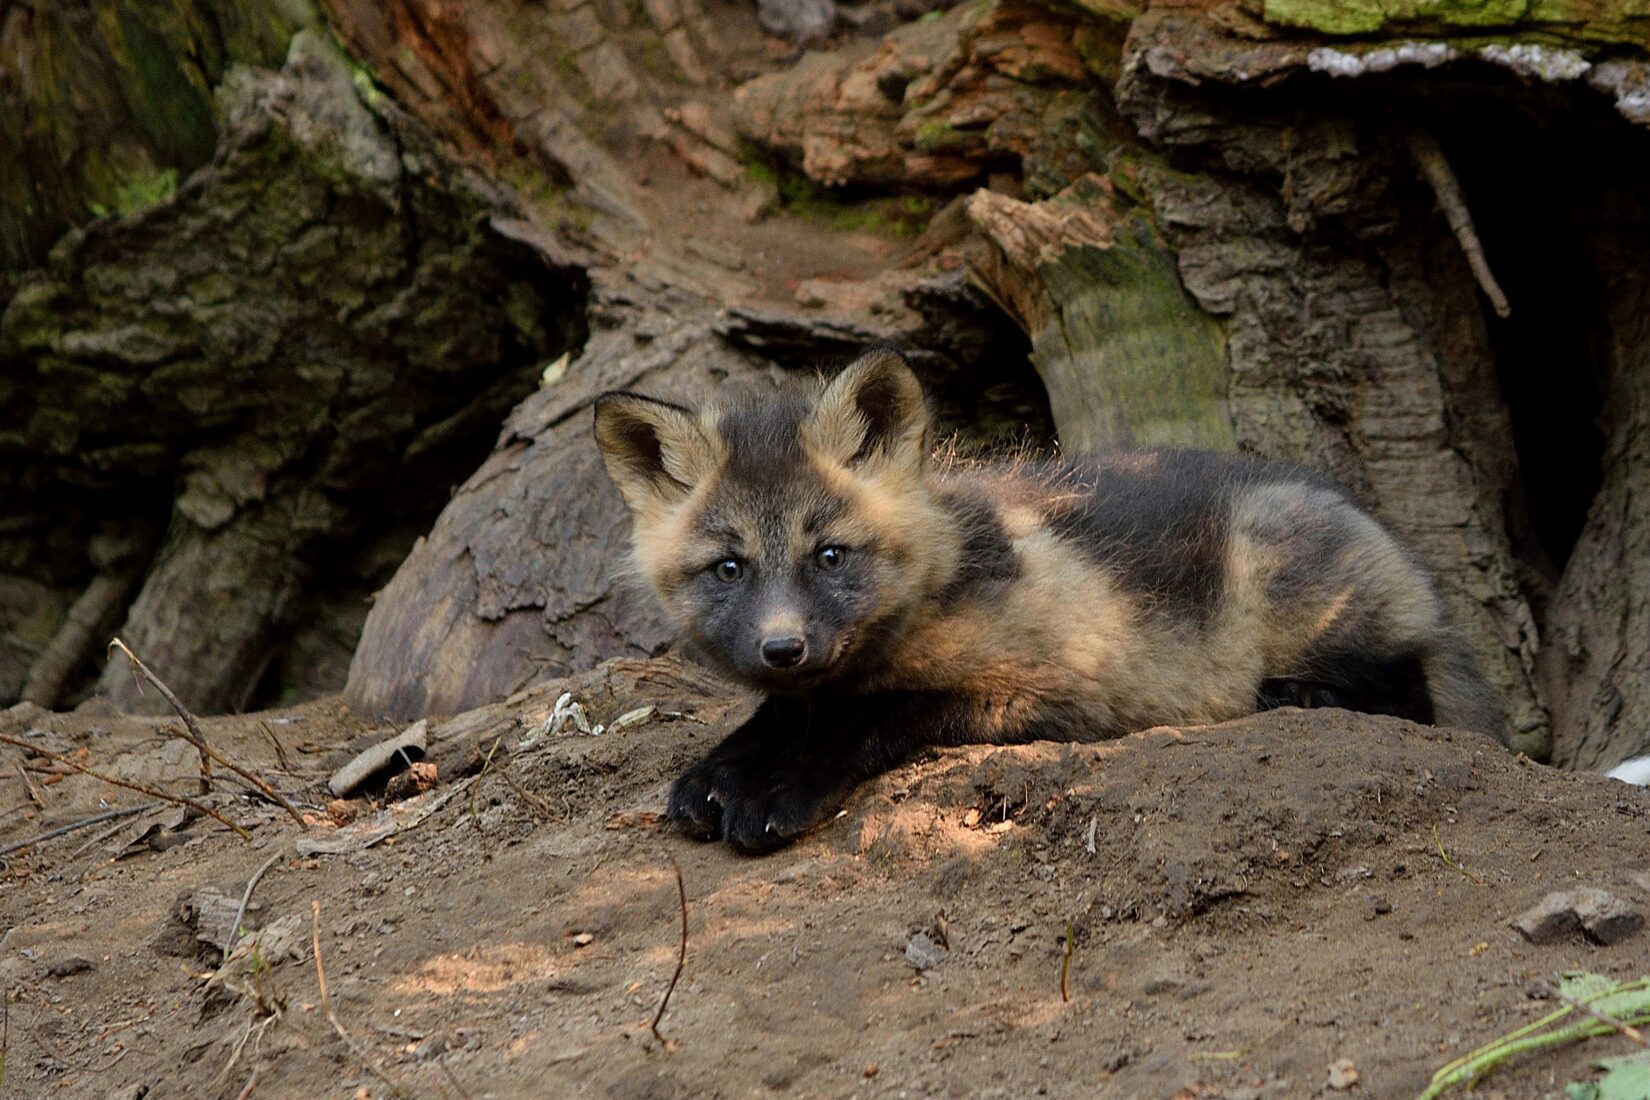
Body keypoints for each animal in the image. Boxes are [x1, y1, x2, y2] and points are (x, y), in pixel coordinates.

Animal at [594, 347, 1511, 857]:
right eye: (728, 569)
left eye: (829, 556)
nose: (783, 649)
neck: (941, 582)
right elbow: (776, 719)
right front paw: (718, 774)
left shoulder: (1045, 686)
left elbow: (867, 720)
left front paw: (776, 790)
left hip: (1298, 588)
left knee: (1413, 694)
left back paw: (1302, 695)